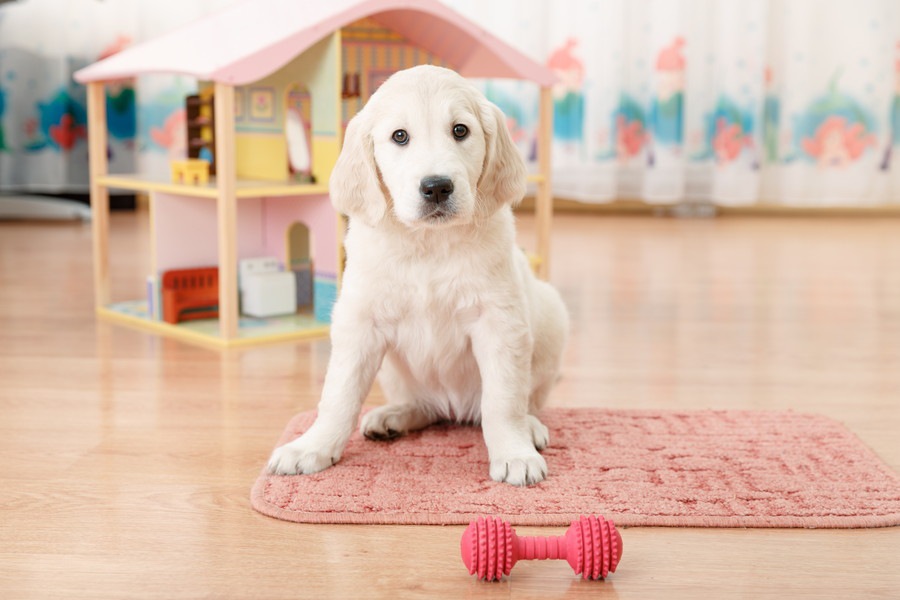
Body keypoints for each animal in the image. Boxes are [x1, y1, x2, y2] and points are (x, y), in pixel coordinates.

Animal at [264, 67, 568, 488]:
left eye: (460, 130)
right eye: (399, 136)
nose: (436, 187)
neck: (427, 244)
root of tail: (456, 408)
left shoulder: (500, 321)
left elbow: (503, 400)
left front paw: (514, 452)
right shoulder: (359, 321)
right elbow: (338, 394)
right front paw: (313, 446)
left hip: (551, 317)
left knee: (525, 400)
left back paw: (531, 427)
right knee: (424, 406)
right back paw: (393, 416)